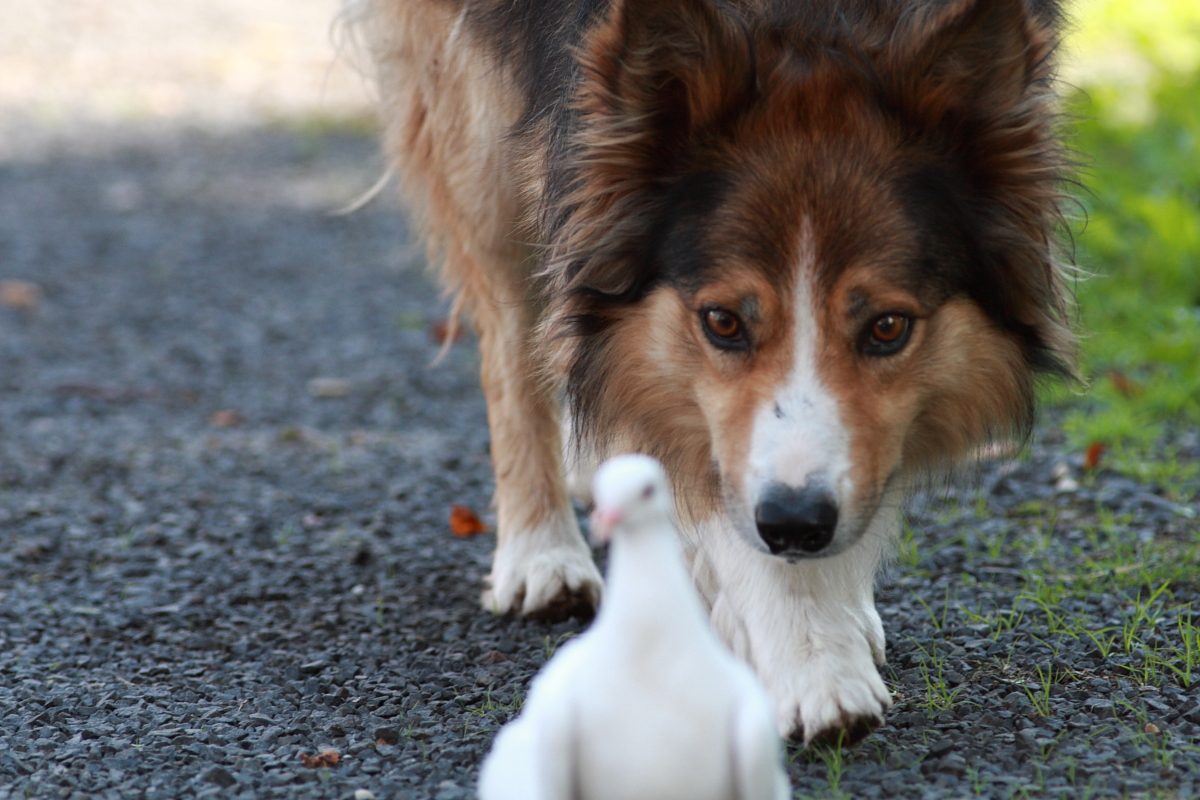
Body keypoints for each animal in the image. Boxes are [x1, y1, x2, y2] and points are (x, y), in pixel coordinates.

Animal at [350, 0, 1075, 743]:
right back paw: (541, 554)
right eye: (723, 322)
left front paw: (828, 618)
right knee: (514, 333)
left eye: (887, 327)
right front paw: (814, 662)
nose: (795, 526)